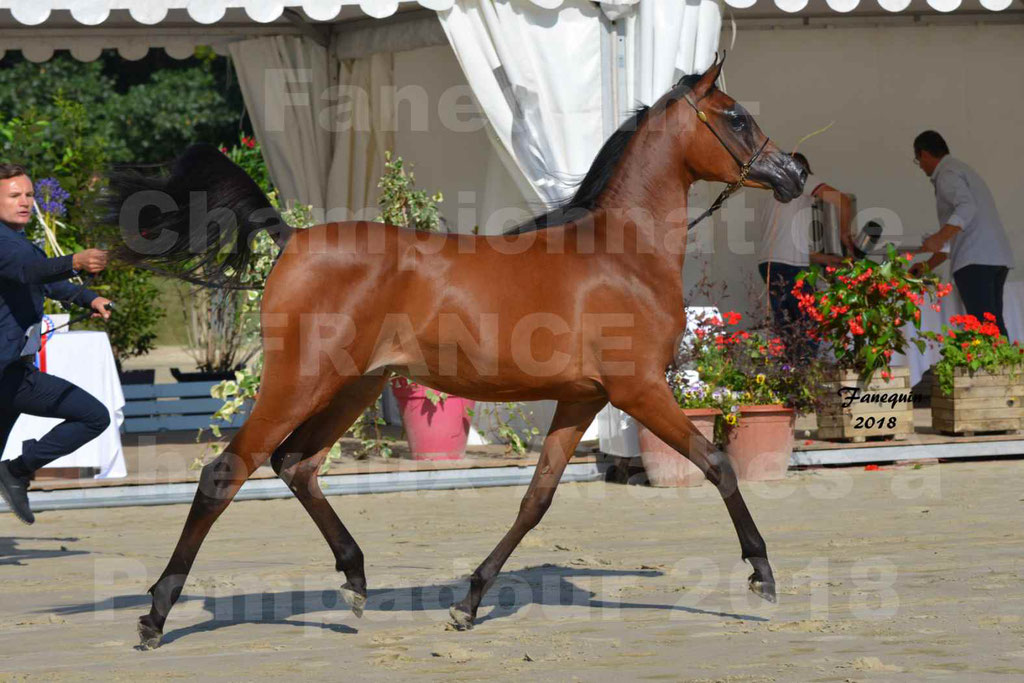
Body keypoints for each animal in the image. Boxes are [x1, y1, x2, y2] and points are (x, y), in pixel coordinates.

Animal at [108, 56, 802, 651]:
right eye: (735, 116)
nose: (793, 171)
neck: (621, 253)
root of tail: (291, 238)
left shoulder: (581, 399)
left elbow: (536, 500)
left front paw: (468, 603)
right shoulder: (639, 390)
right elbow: (717, 463)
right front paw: (761, 574)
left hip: (355, 385)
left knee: (296, 463)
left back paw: (355, 579)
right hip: (299, 381)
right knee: (226, 473)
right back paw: (154, 616)